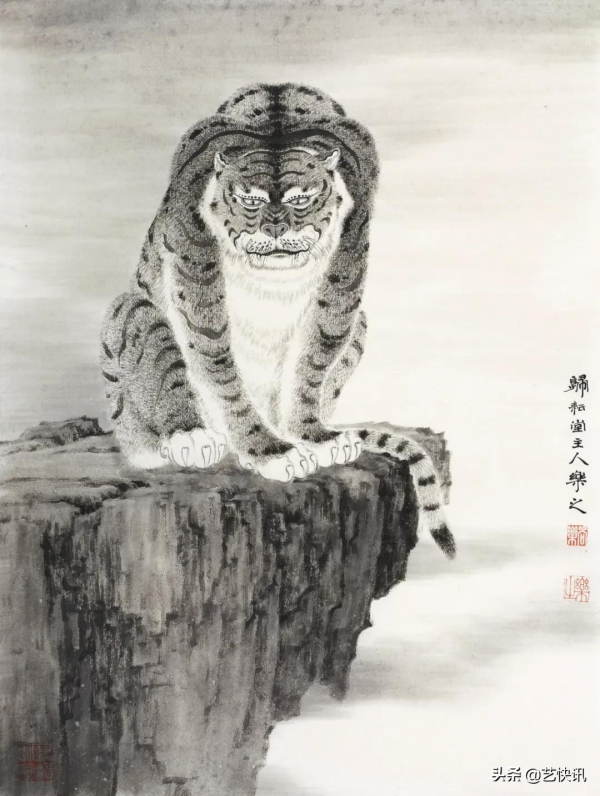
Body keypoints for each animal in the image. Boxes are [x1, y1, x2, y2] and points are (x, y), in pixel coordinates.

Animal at [100, 83, 456, 559]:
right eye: (249, 198)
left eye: (300, 198)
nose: (273, 230)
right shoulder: (196, 275)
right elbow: (222, 373)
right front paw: (271, 451)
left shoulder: (343, 285)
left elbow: (311, 368)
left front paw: (313, 438)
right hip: (133, 314)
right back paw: (193, 438)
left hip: (361, 324)